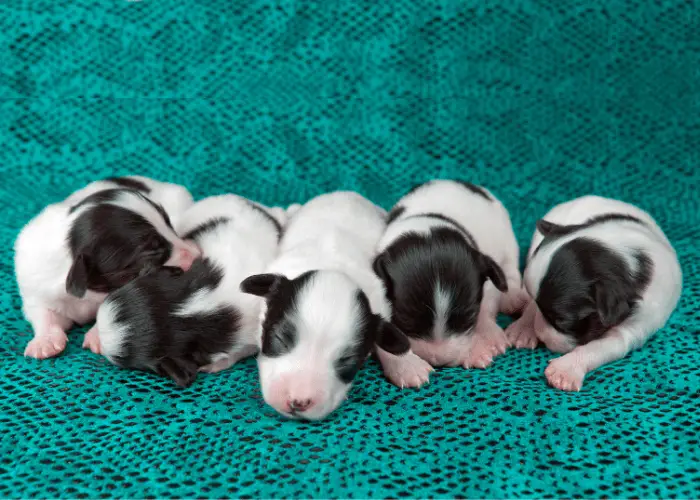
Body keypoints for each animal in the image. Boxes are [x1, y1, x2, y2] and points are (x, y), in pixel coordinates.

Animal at [14, 176, 200, 360]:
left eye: (170, 226)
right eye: (152, 250)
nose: (197, 255)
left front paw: (98, 335)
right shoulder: (36, 289)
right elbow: (43, 313)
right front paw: (44, 342)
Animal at [239, 191, 432, 422]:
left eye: (347, 360)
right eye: (280, 339)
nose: (298, 402)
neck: (331, 264)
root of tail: (346, 193)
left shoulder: (380, 300)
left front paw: (406, 364)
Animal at [374, 182, 528, 370]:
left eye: (470, 316)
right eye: (406, 319)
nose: (440, 360)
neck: (428, 224)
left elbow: (486, 307)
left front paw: (485, 337)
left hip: (507, 237)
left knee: (510, 268)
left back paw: (513, 296)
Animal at [506, 194, 680, 390]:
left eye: (562, 321)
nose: (541, 335)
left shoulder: (633, 326)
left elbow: (598, 347)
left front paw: (565, 368)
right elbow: (533, 305)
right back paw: (522, 329)